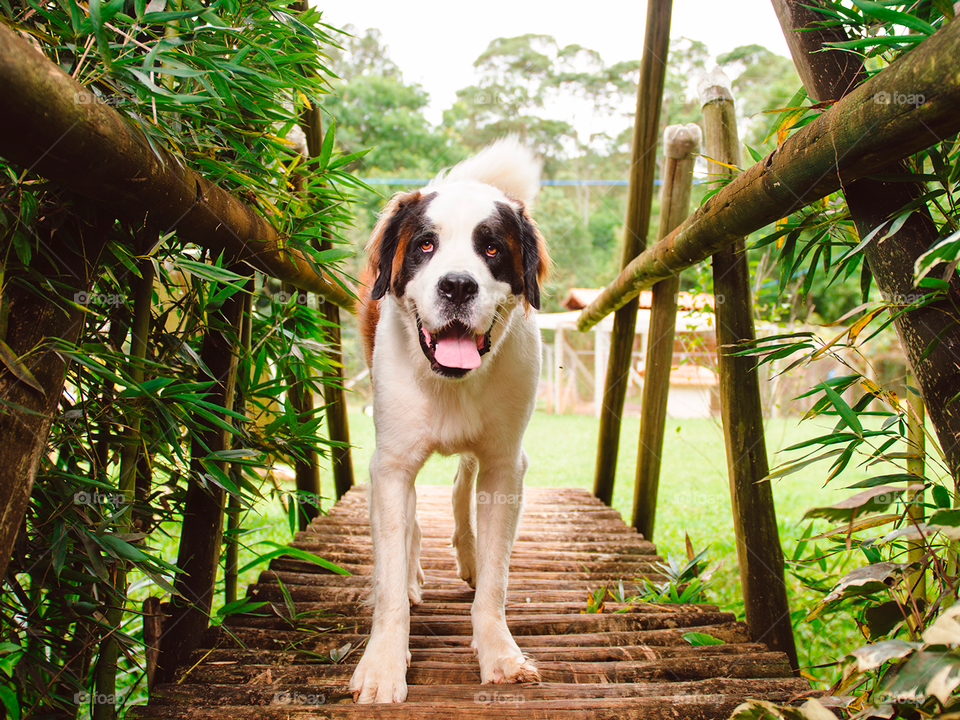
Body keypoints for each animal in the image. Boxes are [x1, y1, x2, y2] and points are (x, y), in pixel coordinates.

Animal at [350, 136, 548, 704]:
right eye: (425, 246)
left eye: (492, 249)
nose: (457, 286)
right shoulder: (391, 465)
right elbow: (390, 578)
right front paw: (383, 665)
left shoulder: (506, 465)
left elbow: (497, 578)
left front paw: (499, 652)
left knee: (462, 484)